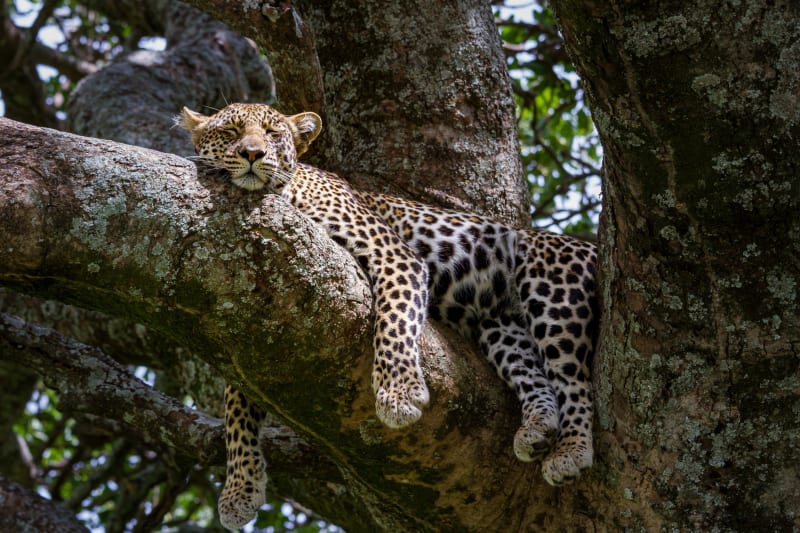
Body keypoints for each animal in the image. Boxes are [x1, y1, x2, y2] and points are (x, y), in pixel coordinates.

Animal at [179, 103, 598, 529]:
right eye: (231, 132)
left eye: (272, 133)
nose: (253, 153)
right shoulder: (249, 328)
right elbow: (235, 403)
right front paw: (240, 487)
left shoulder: (393, 254)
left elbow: (395, 318)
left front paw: (398, 394)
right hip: (500, 327)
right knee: (535, 374)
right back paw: (538, 429)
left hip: (547, 276)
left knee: (575, 381)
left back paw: (571, 449)